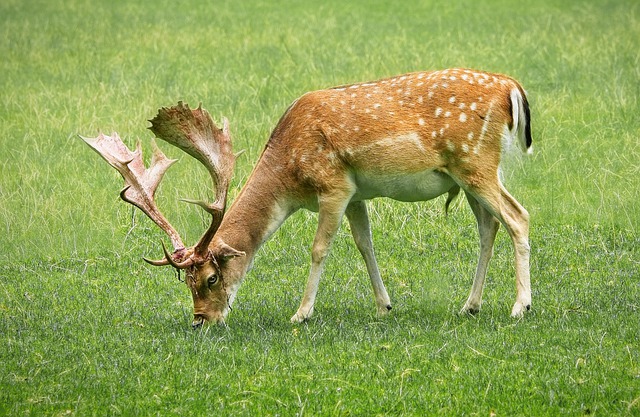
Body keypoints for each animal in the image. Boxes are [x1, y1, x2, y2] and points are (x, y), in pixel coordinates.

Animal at [84, 69, 536, 328]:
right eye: (186, 282)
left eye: (211, 277)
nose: (200, 320)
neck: (290, 176)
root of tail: (512, 88)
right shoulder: (356, 194)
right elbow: (364, 244)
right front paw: (384, 306)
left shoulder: (333, 186)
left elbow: (320, 248)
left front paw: (301, 313)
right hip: (469, 174)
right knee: (489, 225)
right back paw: (470, 305)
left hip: (475, 162)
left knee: (518, 216)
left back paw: (520, 307)